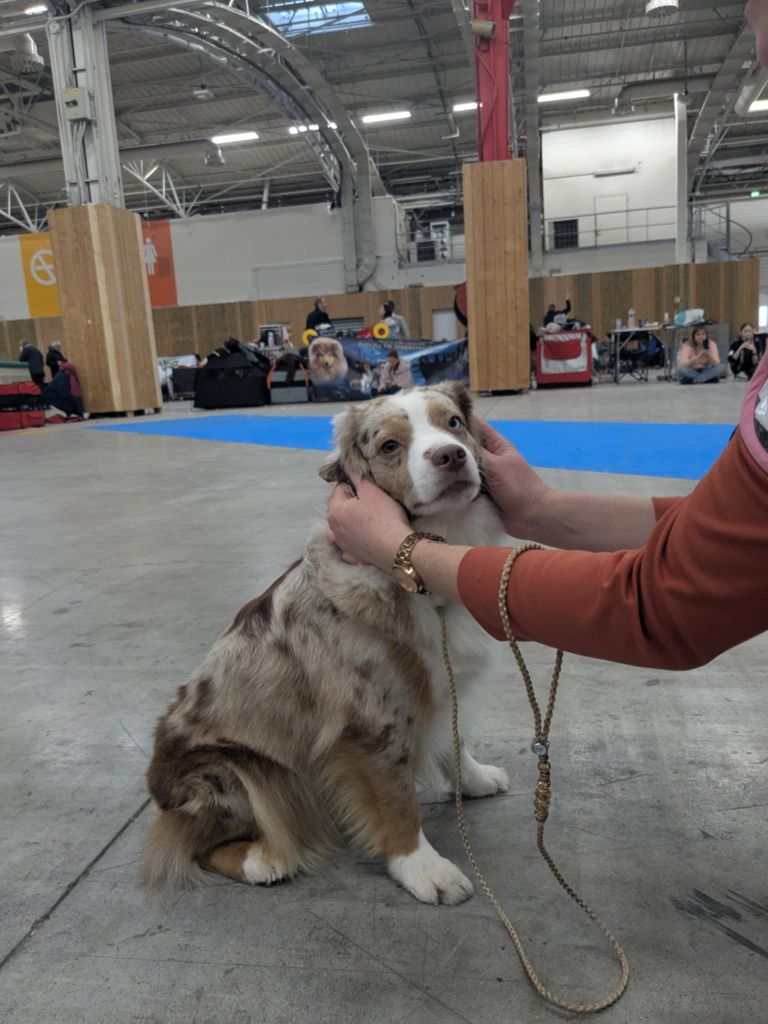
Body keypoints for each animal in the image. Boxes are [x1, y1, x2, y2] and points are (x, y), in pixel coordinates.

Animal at [144, 385, 514, 905]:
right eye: (390, 446)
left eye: (454, 423)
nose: (450, 456)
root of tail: (160, 791)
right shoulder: (374, 719)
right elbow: (397, 800)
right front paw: (422, 868)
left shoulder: (439, 685)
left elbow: (454, 740)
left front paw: (475, 780)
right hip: (239, 771)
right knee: (193, 839)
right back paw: (264, 860)